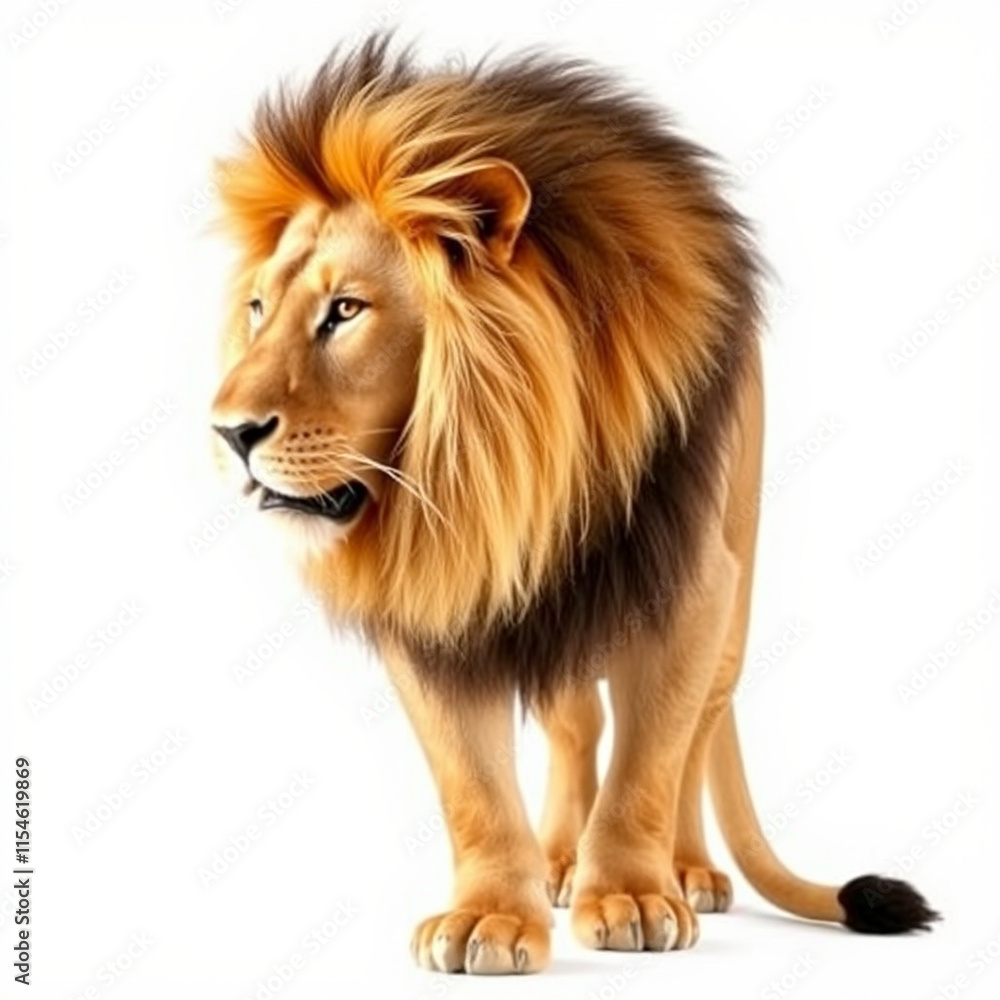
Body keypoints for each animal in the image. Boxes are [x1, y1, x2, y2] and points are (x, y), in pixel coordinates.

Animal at [209, 37, 937, 974]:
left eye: (345, 311)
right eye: (258, 309)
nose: (229, 433)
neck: (499, 478)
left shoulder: (688, 584)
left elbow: (651, 763)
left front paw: (631, 895)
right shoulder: (439, 597)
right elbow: (474, 787)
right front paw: (489, 915)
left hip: (728, 600)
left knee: (695, 734)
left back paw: (686, 870)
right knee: (575, 721)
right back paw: (559, 858)